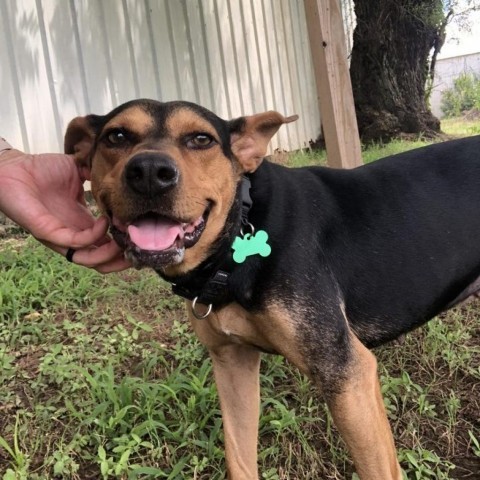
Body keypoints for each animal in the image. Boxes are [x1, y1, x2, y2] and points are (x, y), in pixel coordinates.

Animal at [64, 99, 480, 478]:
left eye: (201, 139)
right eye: (116, 136)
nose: (151, 171)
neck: (238, 233)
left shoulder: (347, 374)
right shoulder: (232, 363)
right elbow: (239, 458)